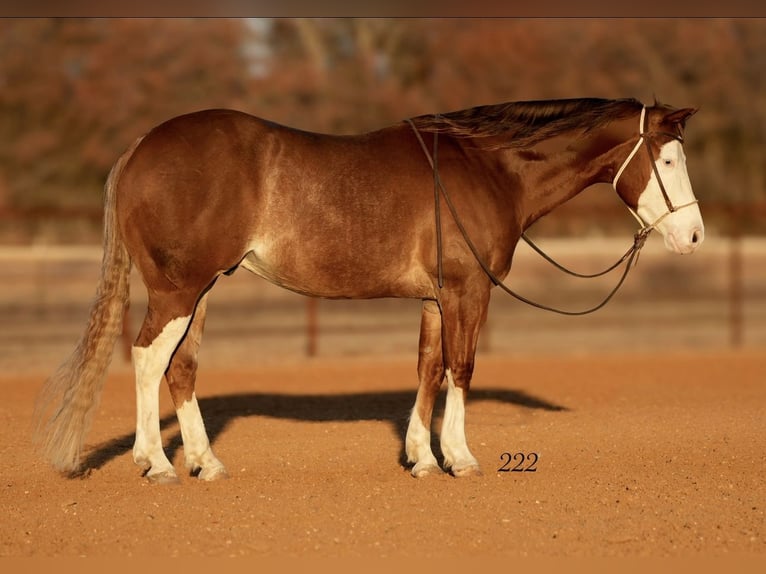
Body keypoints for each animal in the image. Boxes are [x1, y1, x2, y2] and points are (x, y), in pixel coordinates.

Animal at [35, 97, 704, 482]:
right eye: (669, 160)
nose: (694, 235)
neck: (487, 167)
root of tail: (141, 147)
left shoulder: (436, 299)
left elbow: (429, 370)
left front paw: (423, 459)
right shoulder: (468, 293)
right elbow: (462, 369)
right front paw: (460, 459)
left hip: (199, 292)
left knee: (181, 368)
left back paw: (206, 462)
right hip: (177, 291)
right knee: (149, 360)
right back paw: (155, 464)